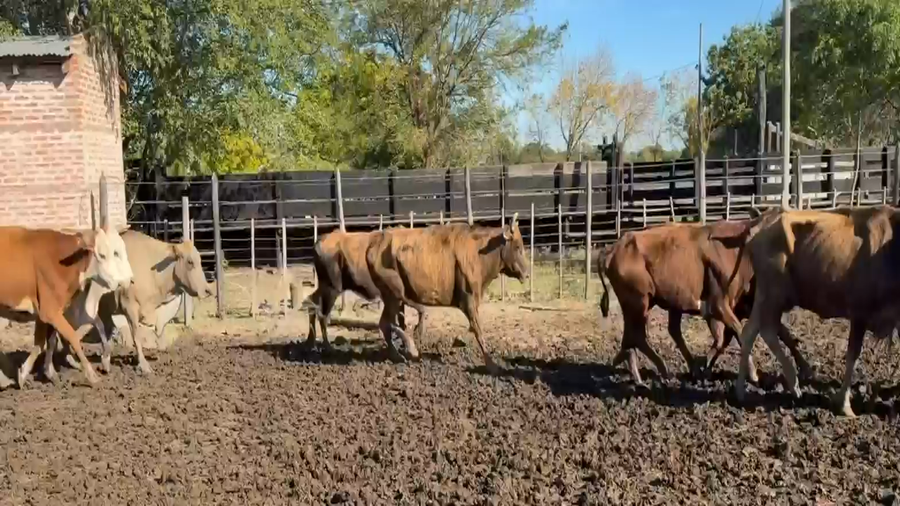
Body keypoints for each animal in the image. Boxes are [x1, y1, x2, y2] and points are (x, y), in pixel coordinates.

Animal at [0, 224, 134, 388]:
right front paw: (92, 375)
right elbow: (72, 337)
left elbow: (44, 342)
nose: (130, 279)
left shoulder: (48, 313)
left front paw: (33, 373)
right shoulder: (50, 312)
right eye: (103, 255)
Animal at [44, 231, 213, 379]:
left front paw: (105, 362)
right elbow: (136, 337)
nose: (207, 290)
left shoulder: (108, 313)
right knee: (60, 337)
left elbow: (108, 338)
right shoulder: (129, 309)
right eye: (190, 262)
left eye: (200, 260)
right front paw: (143, 366)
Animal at [365, 216, 528, 371]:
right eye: (517, 247)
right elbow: (478, 331)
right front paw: (491, 365)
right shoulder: (469, 301)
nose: (526, 273)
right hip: (394, 295)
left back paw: (399, 353)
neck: (478, 253)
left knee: (387, 323)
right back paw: (409, 350)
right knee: (389, 322)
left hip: (392, 298)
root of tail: (373, 247)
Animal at [597, 214, 812, 387]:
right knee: (638, 336)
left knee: (638, 336)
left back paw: (639, 371)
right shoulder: (720, 306)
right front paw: (752, 374)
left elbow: (780, 333)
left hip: (644, 305)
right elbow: (739, 334)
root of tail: (614, 247)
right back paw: (662, 369)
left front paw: (806, 369)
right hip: (639, 302)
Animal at [713, 205, 900, 418]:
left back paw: (741, 390)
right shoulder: (860, 311)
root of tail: (765, 218)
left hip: (766, 296)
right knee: (766, 330)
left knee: (751, 331)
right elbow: (853, 356)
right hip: (773, 293)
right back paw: (793, 383)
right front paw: (845, 405)